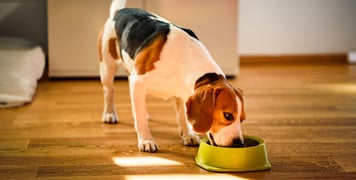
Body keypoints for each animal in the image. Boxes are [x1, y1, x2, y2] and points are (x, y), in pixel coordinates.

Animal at [98, 0, 246, 152]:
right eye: (228, 115)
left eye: (242, 119)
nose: (239, 143)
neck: (183, 57)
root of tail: (119, 11)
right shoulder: (138, 81)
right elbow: (140, 120)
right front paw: (146, 140)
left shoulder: (181, 92)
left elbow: (182, 116)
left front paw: (187, 135)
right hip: (107, 68)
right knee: (109, 92)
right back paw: (110, 114)